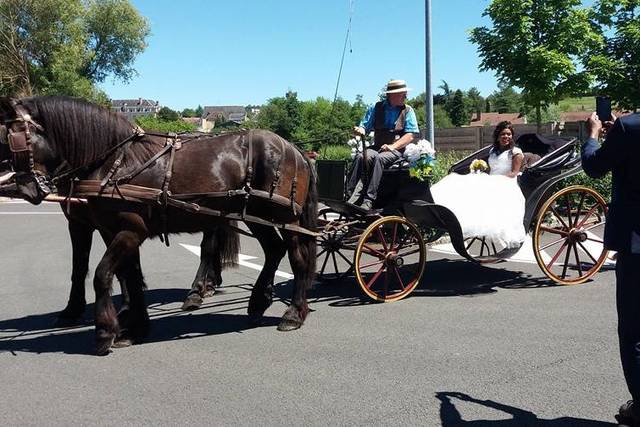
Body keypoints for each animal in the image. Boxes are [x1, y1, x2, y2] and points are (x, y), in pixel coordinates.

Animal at [0, 96, 318, 354]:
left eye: (13, 140)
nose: (26, 189)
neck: (115, 161)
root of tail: (295, 149)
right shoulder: (112, 231)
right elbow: (128, 276)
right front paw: (135, 327)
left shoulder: (129, 231)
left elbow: (102, 274)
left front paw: (105, 331)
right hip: (257, 216)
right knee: (273, 250)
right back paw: (257, 301)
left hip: (285, 219)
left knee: (297, 258)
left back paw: (293, 313)